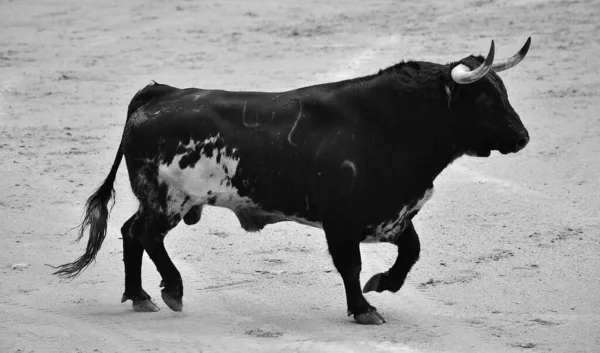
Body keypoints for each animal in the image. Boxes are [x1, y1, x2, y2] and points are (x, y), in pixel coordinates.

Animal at [55, 38, 528, 324]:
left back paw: (139, 296)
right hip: (169, 199)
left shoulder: (392, 214)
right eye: (485, 98)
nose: (522, 137)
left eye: (505, 91)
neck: (392, 123)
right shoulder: (342, 222)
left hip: (158, 200)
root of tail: (161, 93)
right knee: (145, 235)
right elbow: (350, 266)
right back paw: (170, 290)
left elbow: (410, 253)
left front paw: (383, 285)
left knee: (130, 232)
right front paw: (363, 308)